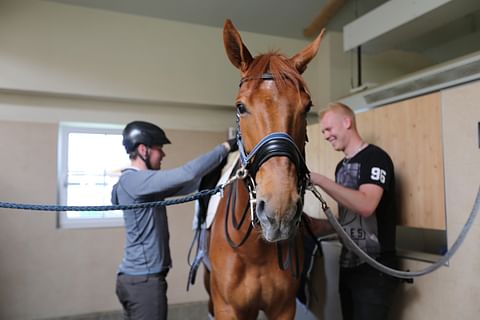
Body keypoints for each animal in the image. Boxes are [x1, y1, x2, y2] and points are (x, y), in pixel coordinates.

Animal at [205, 20, 322, 320]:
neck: (254, 251)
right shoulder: (227, 308)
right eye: (240, 107)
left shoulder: (284, 307)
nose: (280, 210)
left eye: (307, 107)